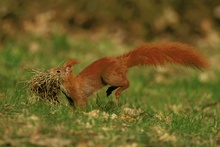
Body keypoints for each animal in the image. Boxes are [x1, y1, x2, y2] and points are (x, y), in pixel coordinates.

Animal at [49, 42, 209, 109]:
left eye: (58, 71)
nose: (49, 71)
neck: (68, 83)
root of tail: (121, 61)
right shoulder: (70, 98)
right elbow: (71, 106)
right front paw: (70, 114)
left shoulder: (79, 95)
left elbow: (81, 104)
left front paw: (81, 114)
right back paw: (110, 90)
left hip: (108, 74)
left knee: (127, 82)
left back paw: (117, 92)